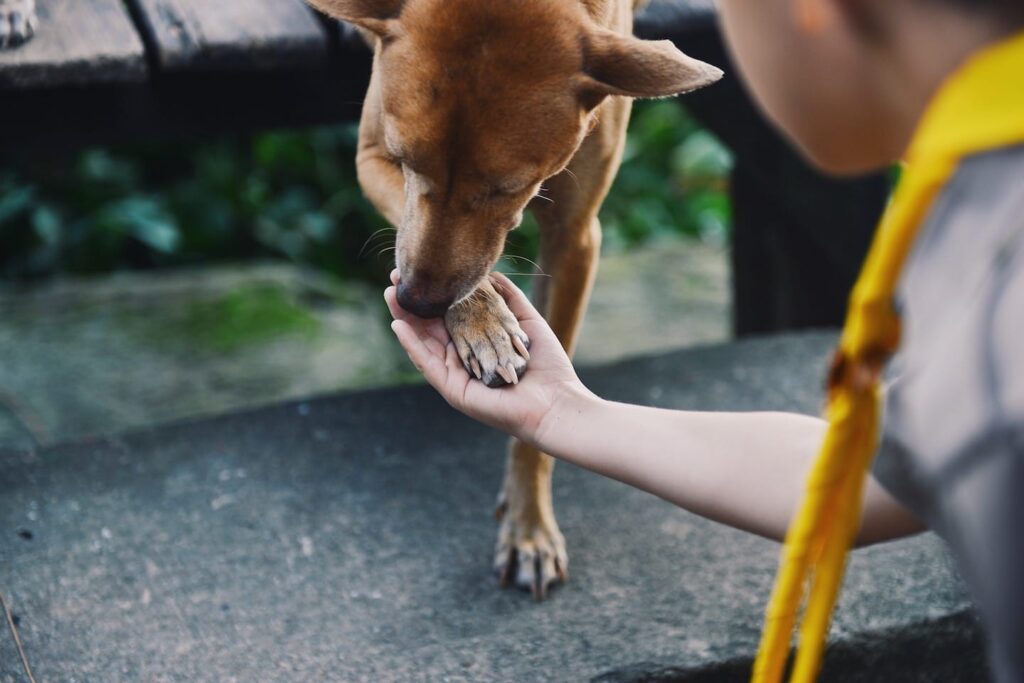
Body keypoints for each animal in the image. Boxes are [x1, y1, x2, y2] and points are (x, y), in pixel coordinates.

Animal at [307, 0, 716, 598]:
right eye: (407, 161)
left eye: (506, 188)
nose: (416, 303)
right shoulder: (371, 156)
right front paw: (483, 323)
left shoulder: (576, 235)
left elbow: (538, 431)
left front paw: (529, 529)